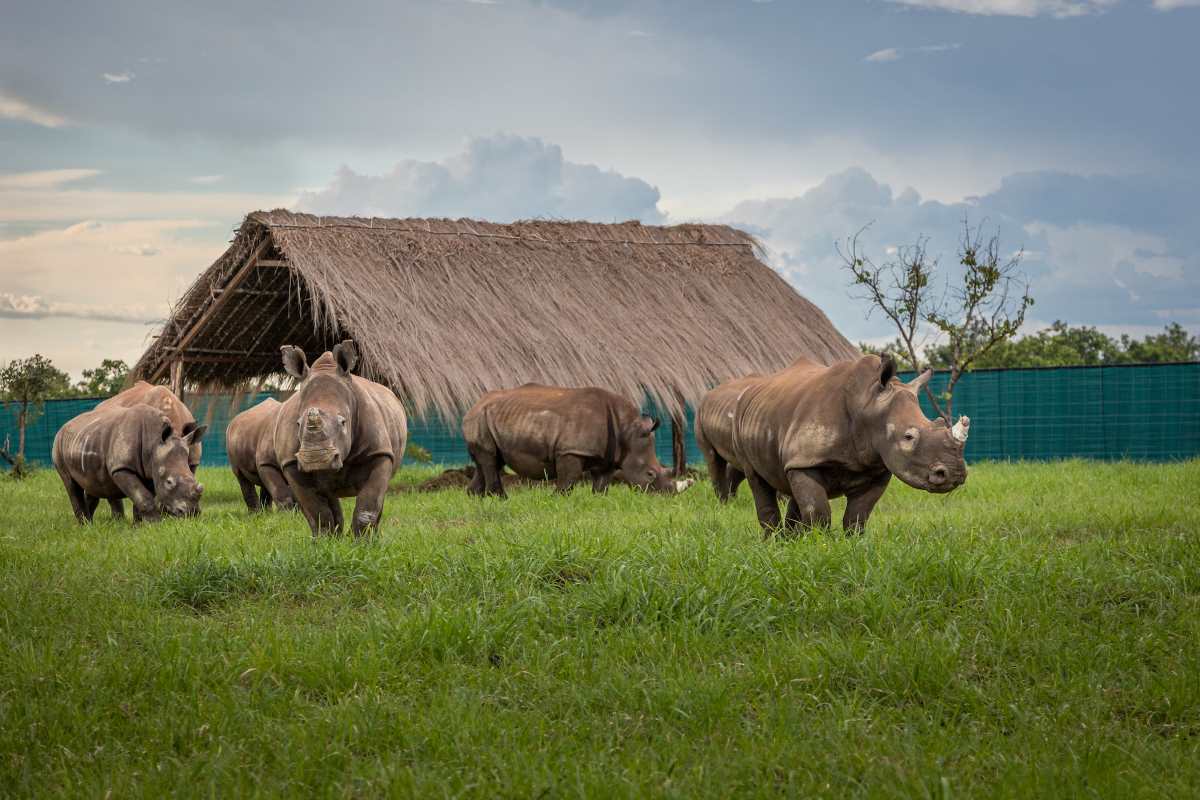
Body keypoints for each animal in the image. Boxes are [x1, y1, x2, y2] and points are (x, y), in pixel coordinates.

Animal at [52, 403, 206, 523]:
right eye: (169, 482)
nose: (192, 513)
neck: (153, 443)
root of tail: (64, 426)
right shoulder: (122, 468)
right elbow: (143, 497)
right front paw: (156, 524)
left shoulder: (150, 471)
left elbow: (142, 498)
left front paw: (140, 526)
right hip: (58, 445)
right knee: (71, 485)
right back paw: (84, 526)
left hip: (87, 440)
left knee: (93, 484)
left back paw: (90, 524)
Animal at [274, 341, 408, 536]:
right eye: (298, 424)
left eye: (343, 422)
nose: (316, 459)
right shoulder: (290, 463)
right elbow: (317, 512)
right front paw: (324, 542)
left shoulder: (379, 453)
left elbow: (367, 508)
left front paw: (362, 542)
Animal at [461, 384, 692, 497]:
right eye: (650, 474)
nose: (668, 495)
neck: (627, 430)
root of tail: (473, 405)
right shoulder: (570, 450)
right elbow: (568, 481)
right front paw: (556, 500)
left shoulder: (606, 457)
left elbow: (602, 484)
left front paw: (597, 501)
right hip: (480, 418)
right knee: (490, 460)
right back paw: (501, 500)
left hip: (489, 418)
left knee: (489, 461)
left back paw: (476, 499)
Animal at [723, 354, 969, 535]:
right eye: (908, 437)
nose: (955, 474)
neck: (867, 405)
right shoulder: (807, 458)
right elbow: (818, 513)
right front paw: (817, 545)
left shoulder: (876, 468)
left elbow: (857, 517)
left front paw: (851, 545)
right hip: (741, 422)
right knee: (757, 479)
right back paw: (773, 541)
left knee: (790, 481)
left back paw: (789, 542)